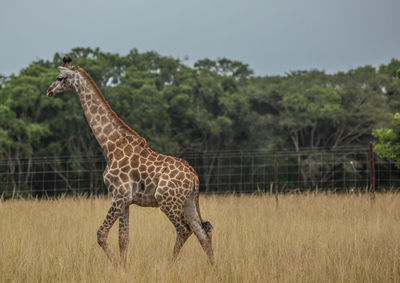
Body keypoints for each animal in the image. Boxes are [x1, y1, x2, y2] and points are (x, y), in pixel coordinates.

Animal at [46, 57, 214, 268]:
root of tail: (194, 176)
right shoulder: (126, 200)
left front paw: (117, 267)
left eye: (59, 77)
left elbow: (101, 234)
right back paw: (214, 268)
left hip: (167, 200)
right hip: (189, 201)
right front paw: (123, 268)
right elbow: (123, 239)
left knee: (184, 229)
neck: (110, 144)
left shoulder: (119, 195)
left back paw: (169, 266)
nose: (49, 90)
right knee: (202, 232)